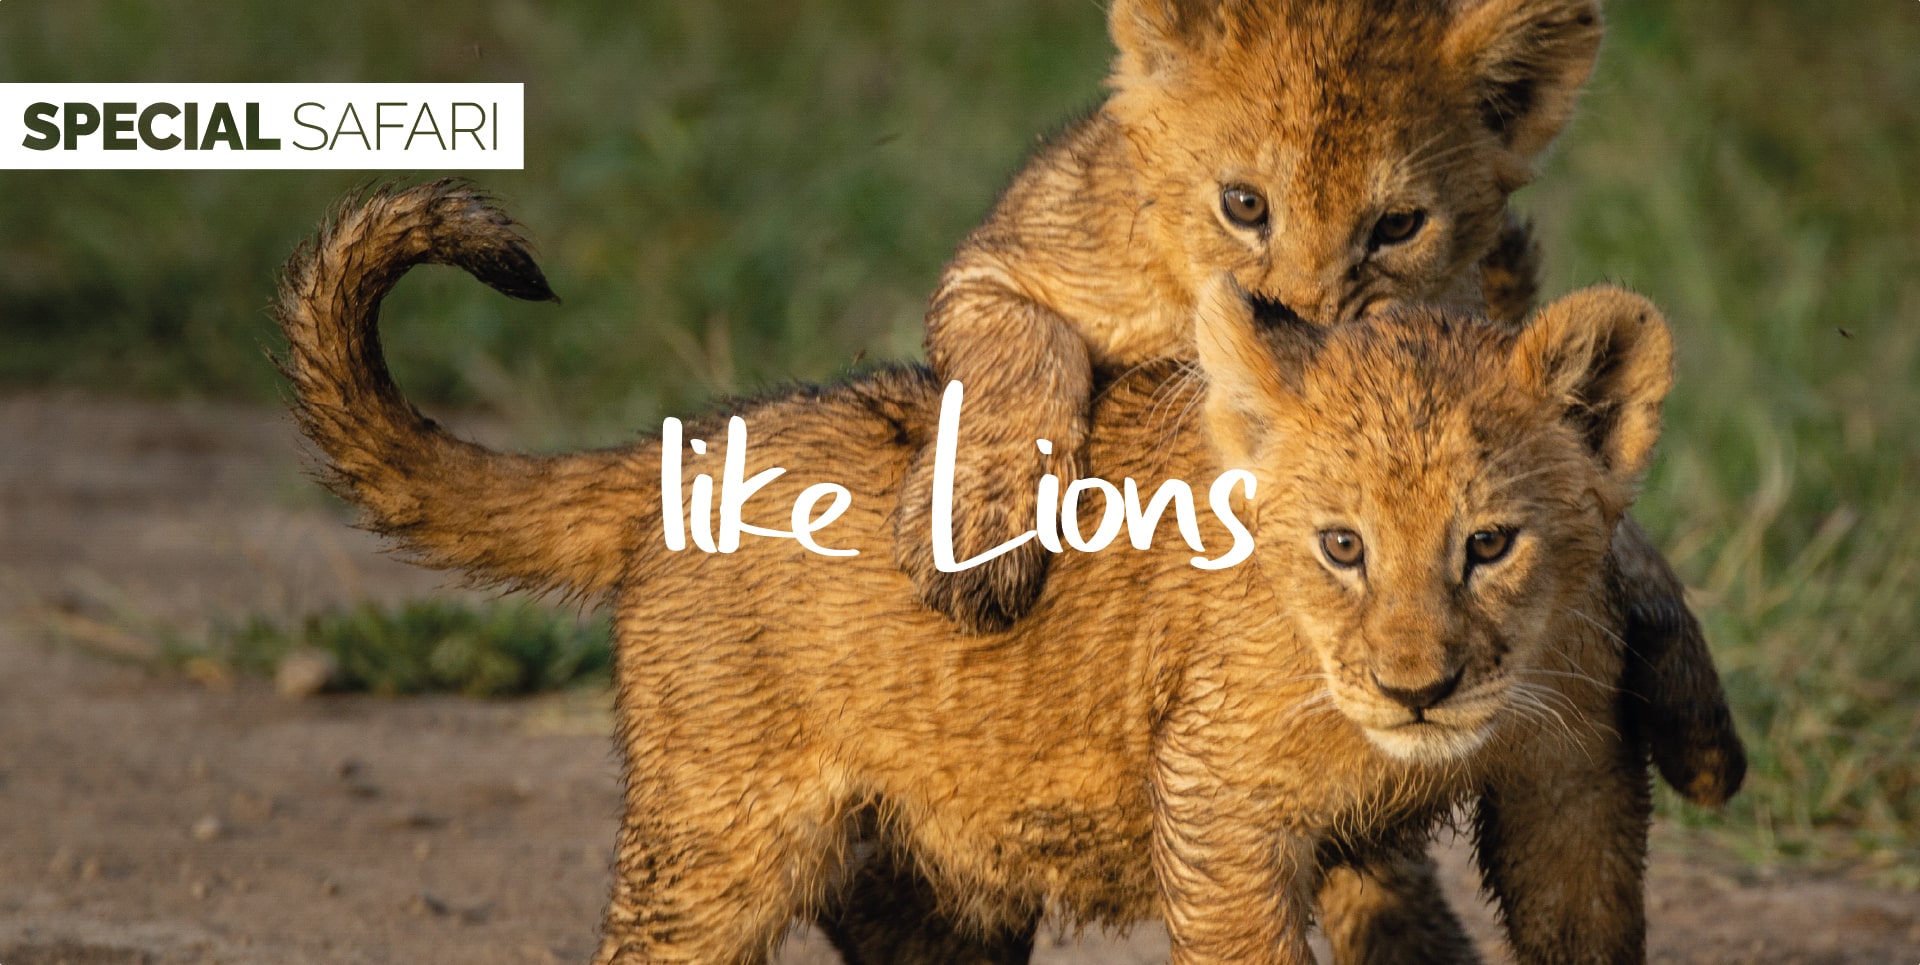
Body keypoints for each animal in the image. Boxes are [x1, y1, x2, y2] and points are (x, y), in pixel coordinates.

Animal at [277, 183, 1665, 964]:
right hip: (714, 833)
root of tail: (707, 440)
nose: (1418, 688)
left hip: (930, 883)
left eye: (1489, 543)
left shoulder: (1577, 783)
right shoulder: (1217, 799)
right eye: (1342, 545)